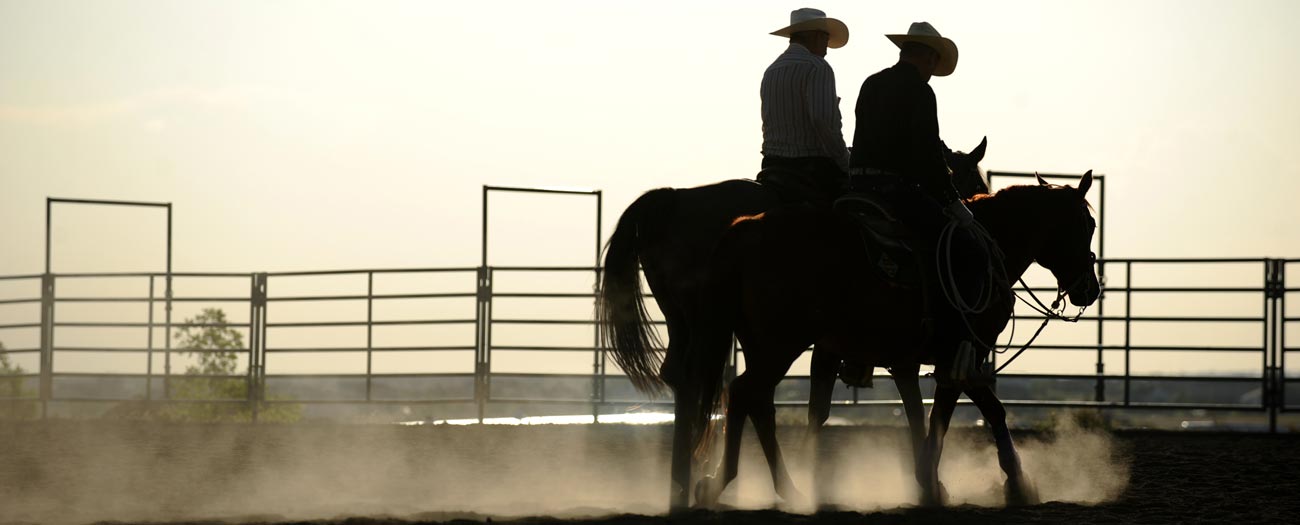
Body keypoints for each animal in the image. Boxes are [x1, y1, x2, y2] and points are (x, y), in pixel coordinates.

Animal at [595, 140, 982, 509]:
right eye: (974, 182)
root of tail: (673, 200)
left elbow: (819, 408)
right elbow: (823, 410)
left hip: (688, 322)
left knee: (698, 382)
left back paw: (688, 483)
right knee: (723, 388)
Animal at [691, 171, 1097, 504]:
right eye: (1087, 225)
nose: (1090, 290)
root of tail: (749, 229)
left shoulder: (913, 362)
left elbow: (925, 414)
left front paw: (930, 481)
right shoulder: (962, 354)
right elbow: (959, 415)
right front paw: (1009, 483)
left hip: (761, 345)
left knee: (756, 403)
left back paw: (782, 488)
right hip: (781, 344)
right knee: (743, 393)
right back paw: (728, 482)